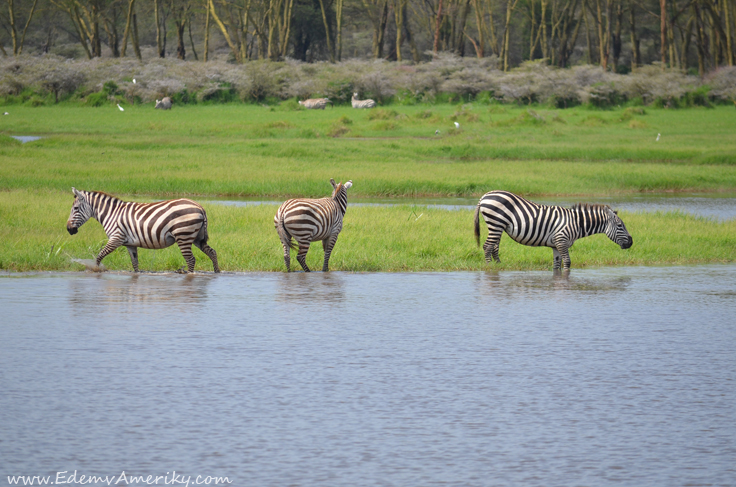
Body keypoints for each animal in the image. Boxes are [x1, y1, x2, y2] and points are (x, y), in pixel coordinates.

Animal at [66, 188, 218, 274]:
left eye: (75, 209)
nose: (68, 229)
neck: (112, 214)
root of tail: (199, 206)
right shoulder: (130, 244)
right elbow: (135, 264)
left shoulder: (116, 237)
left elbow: (100, 255)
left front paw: (95, 270)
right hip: (197, 237)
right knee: (212, 252)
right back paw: (217, 272)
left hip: (184, 235)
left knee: (191, 259)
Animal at [478, 191, 632, 270]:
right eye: (620, 226)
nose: (631, 242)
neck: (576, 223)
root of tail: (485, 195)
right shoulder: (561, 241)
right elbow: (568, 263)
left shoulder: (556, 245)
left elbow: (556, 265)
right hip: (496, 223)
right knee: (487, 246)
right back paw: (489, 267)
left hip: (498, 226)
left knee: (494, 247)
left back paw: (499, 265)